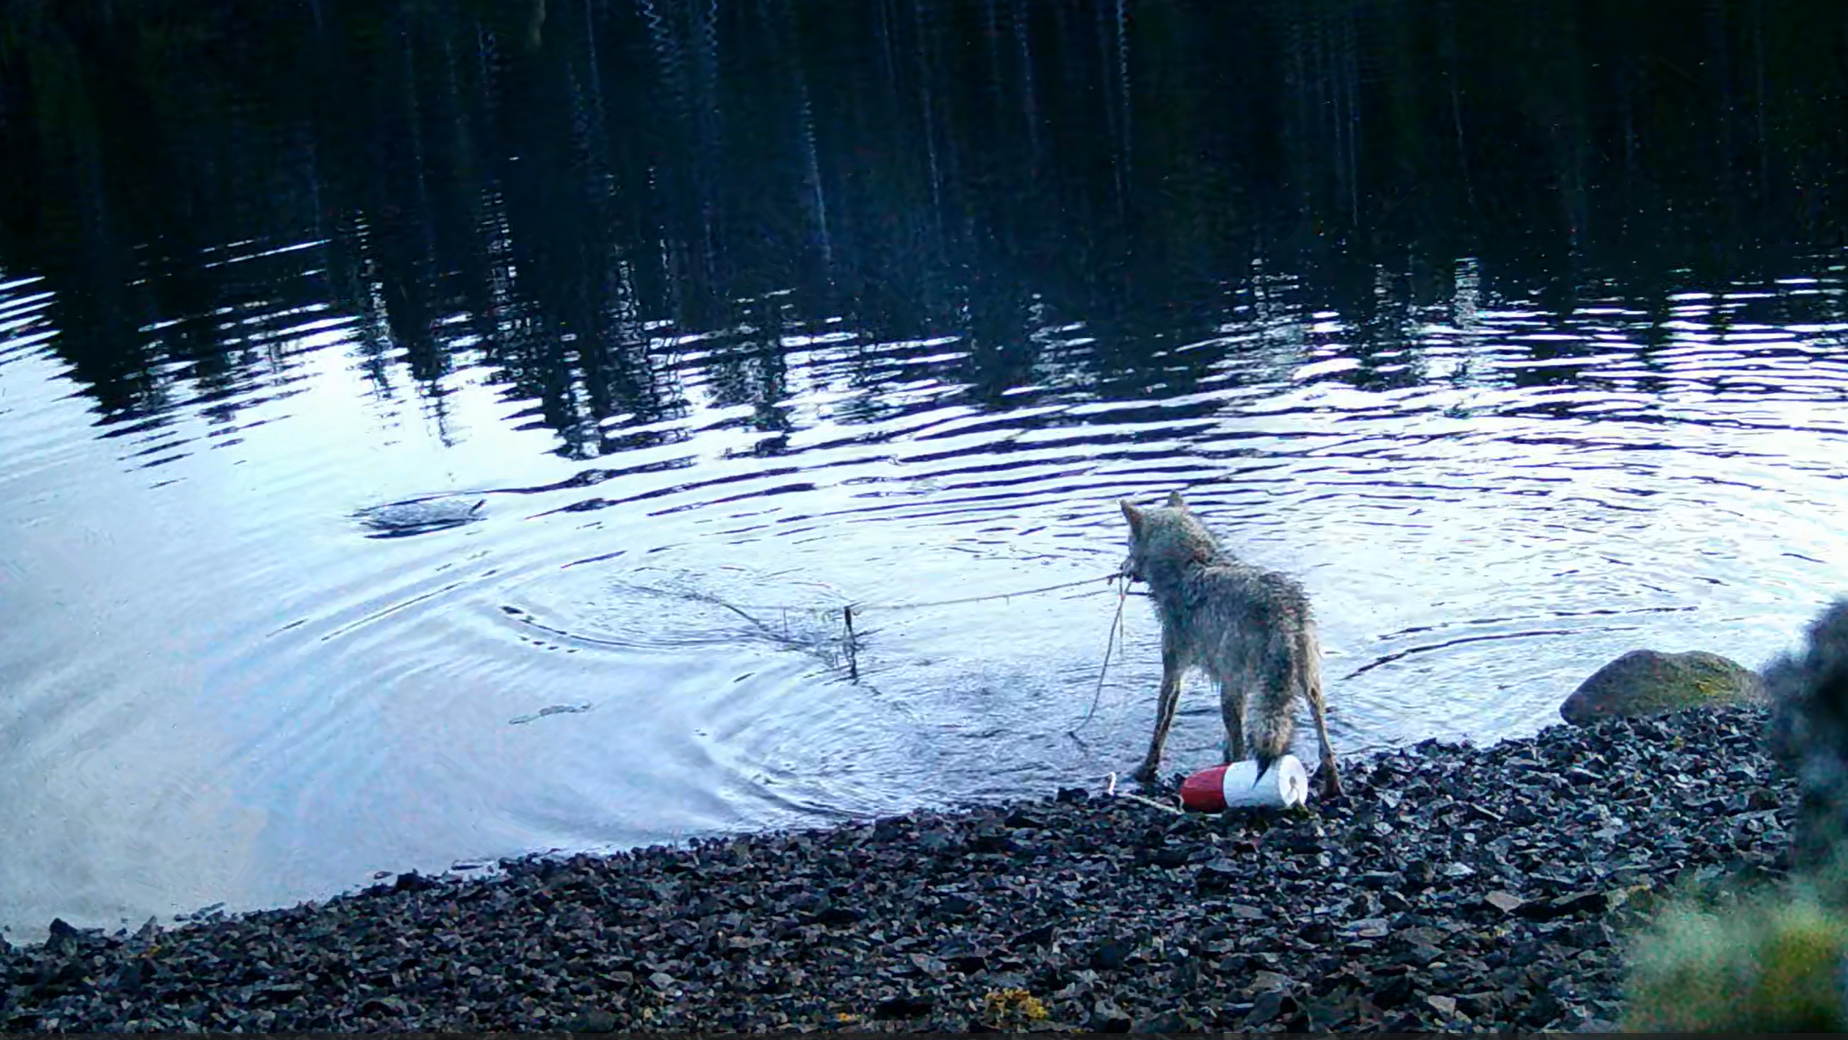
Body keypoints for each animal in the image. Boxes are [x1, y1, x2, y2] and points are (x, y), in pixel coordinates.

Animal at [1118, 491, 1341, 798]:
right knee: (1325, 748)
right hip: (1309, 689)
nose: (1121, 568)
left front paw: (1144, 770)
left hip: (1230, 694)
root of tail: (1282, 612)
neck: (1193, 564)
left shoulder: (1173, 673)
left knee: (1242, 751)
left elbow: (1160, 724)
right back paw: (1332, 788)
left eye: (1128, 544)